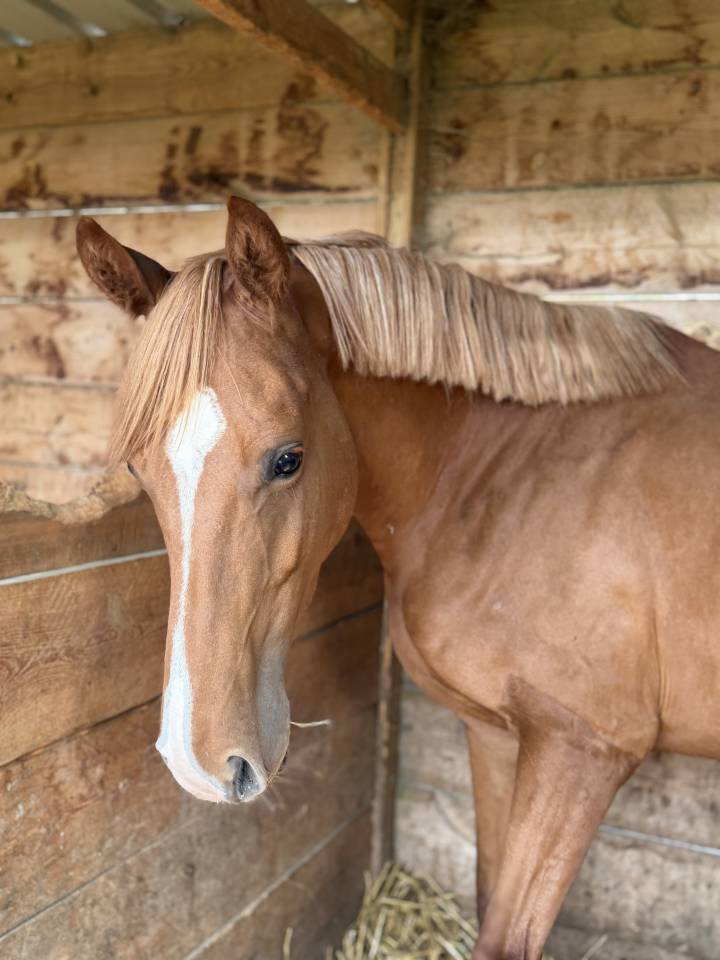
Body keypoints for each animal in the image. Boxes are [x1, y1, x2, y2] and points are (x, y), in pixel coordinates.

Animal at [76, 197, 720, 960]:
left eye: (288, 459)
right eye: (139, 470)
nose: (196, 762)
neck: (499, 471)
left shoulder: (584, 750)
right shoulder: (498, 735)